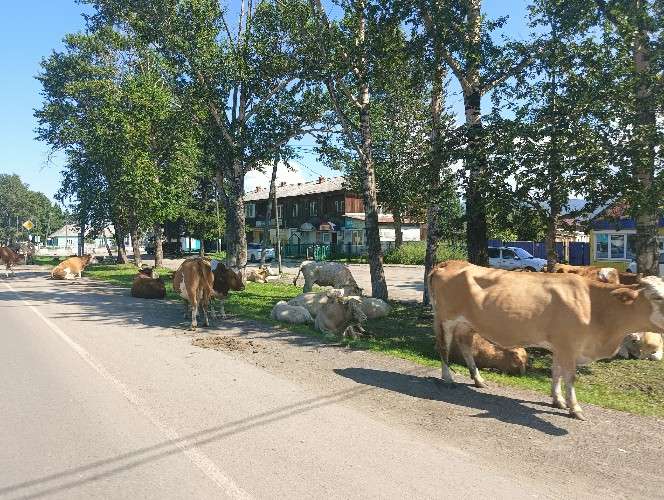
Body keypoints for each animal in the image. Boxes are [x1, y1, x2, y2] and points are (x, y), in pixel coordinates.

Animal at [428, 260, 664, 420]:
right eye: (656, 297)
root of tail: (450, 262)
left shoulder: (560, 345)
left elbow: (556, 372)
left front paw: (557, 400)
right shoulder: (569, 345)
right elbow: (570, 377)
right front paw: (575, 408)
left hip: (467, 324)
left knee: (466, 347)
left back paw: (478, 379)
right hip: (446, 318)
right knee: (443, 346)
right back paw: (448, 378)